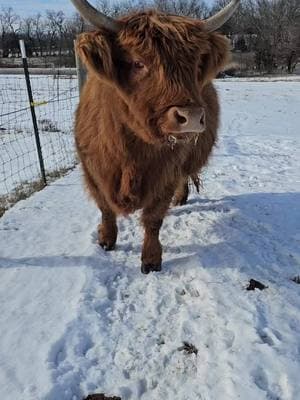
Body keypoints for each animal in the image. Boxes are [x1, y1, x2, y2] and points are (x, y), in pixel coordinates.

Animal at [71, 0, 240, 274]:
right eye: (138, 63)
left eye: (194, 65)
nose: (191, 116)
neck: (130, 154)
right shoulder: (93, 170)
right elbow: (105, 207)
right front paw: (107, 240)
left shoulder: (165, 174)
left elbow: (153, 219)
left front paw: (151, 260)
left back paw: (180, 198)